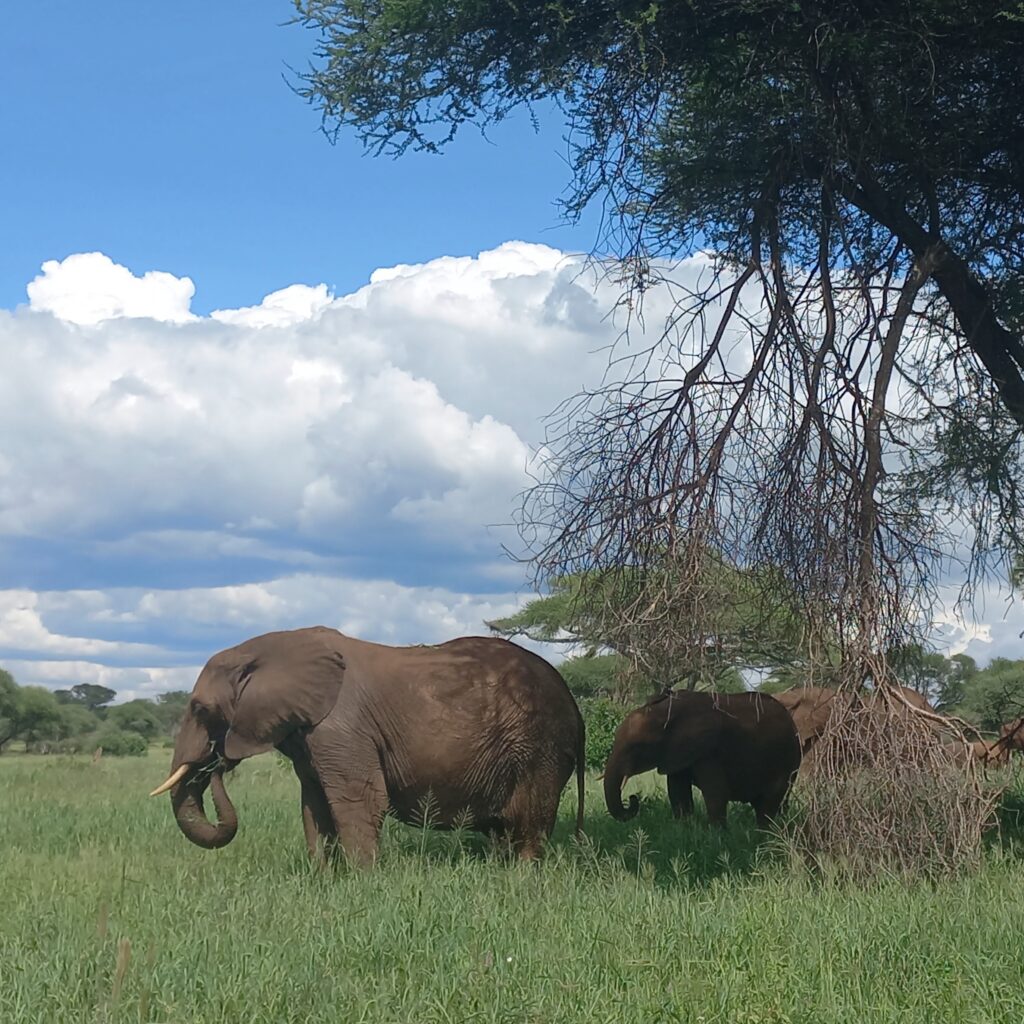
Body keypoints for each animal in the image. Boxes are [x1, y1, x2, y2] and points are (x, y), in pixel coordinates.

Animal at [149, 622, 589, 864]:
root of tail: (575, 706)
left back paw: (522, 877)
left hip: (539, 748)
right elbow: (314, 805)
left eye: (200, 709)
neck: (269, 650)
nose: (217, 762)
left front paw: (361, 881)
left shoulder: (341, 728)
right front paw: (324, 878)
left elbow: (358, 800)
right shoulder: (310, 734)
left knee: (528, 823)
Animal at [602, 688, 802, 831]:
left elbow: (715, 793)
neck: (665, 712)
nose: (633, 798)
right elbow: (678, 792)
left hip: (787, 760)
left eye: (638, 747)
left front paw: (716, 836)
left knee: (768, 805)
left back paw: (764, 834)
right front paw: (684, 829)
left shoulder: (708, 751)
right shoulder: (676, 754)